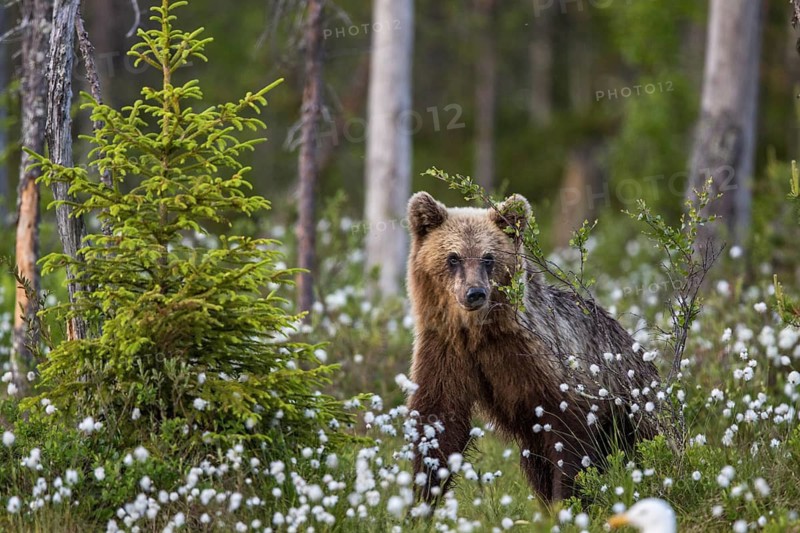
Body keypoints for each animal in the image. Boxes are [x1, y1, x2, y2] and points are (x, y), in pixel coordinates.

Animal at [405, 191, 659, 503]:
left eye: (489, 258)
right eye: (453, 258)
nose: (474, 293)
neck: (477, 332)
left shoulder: (542, 358)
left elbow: (569, 434)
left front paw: (567, 498)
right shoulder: (445, 349)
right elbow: (438, 420)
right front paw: (423, 497)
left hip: (636, 414)